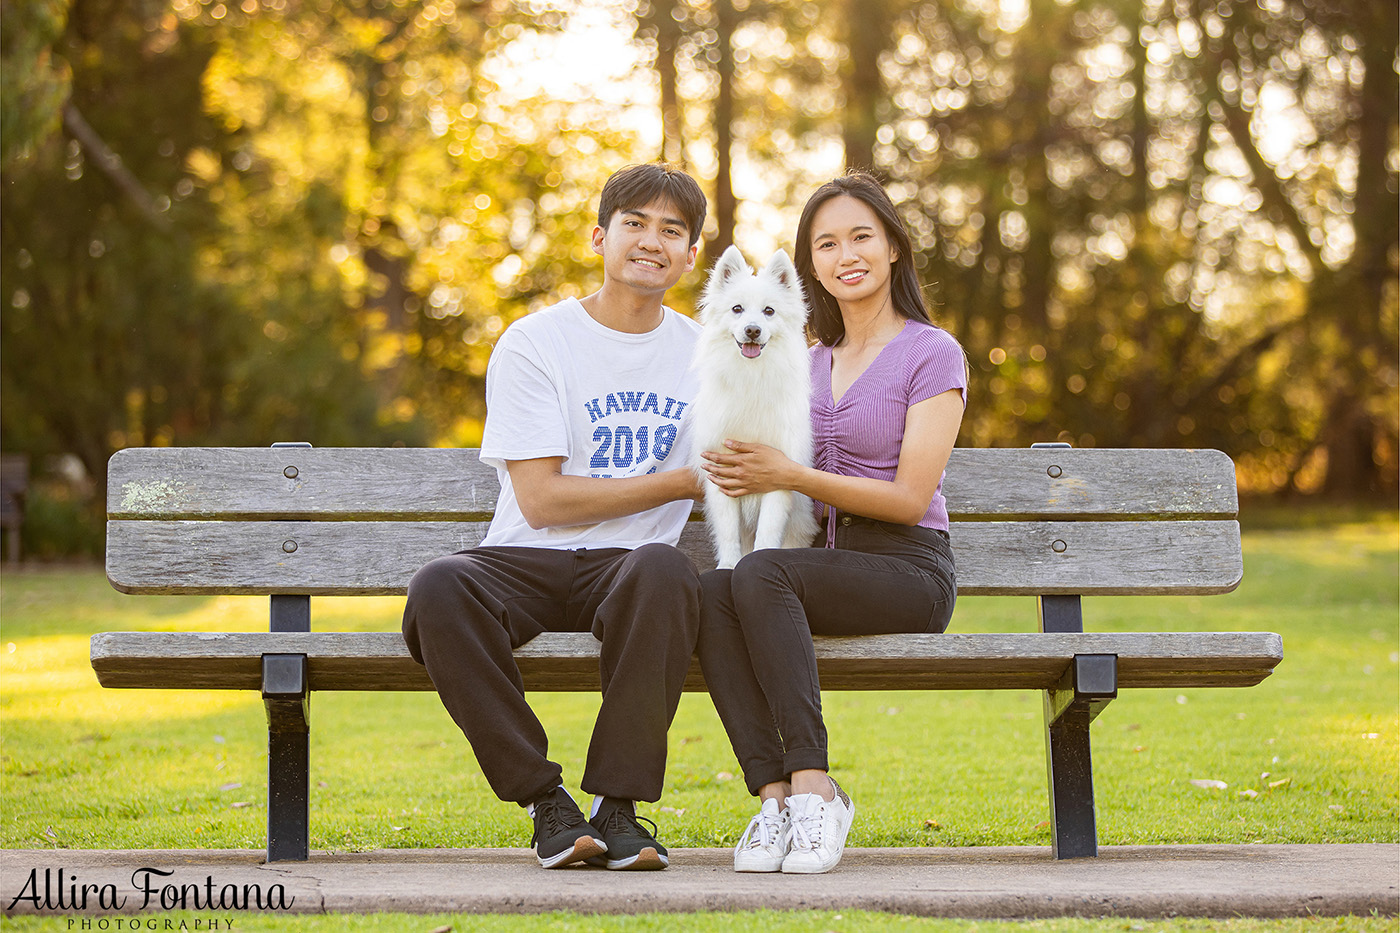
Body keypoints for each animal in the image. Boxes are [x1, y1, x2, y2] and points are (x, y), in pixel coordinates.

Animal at [691, 245, 817, 565]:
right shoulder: (721, 473)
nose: (752, 330)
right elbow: (728, 533)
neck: (751, 376)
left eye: (768, 311)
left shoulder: (778, 475)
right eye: (737, 309)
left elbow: (768, 532)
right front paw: (728, 565)